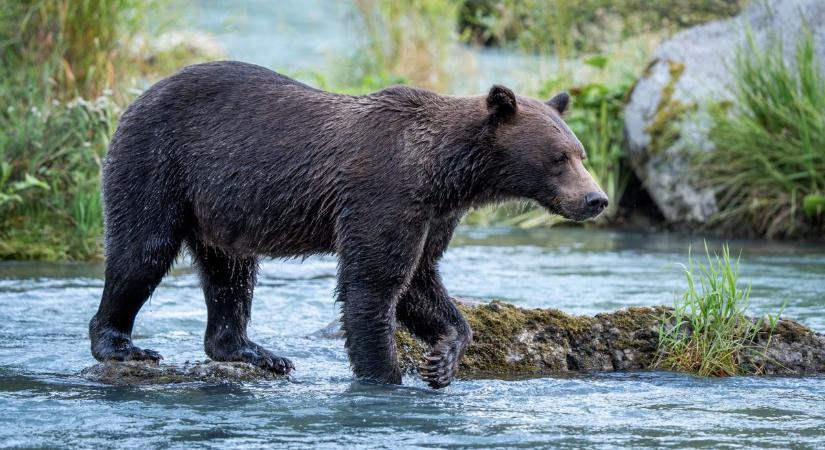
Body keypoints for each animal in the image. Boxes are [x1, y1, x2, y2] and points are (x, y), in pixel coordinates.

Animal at [90, 60, 604, 386]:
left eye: (580, 152)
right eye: (559, 157)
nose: (596, 199)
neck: (445, 171)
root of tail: (138, 97)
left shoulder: (434, 213)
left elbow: (420, 280)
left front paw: (443, 358)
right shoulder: (385, 192)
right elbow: (373, 284)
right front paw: (385, 374)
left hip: (217, 206)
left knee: (230, 272)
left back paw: (256, 352)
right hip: (158, 164)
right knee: (142, 251)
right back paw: (122, 345)